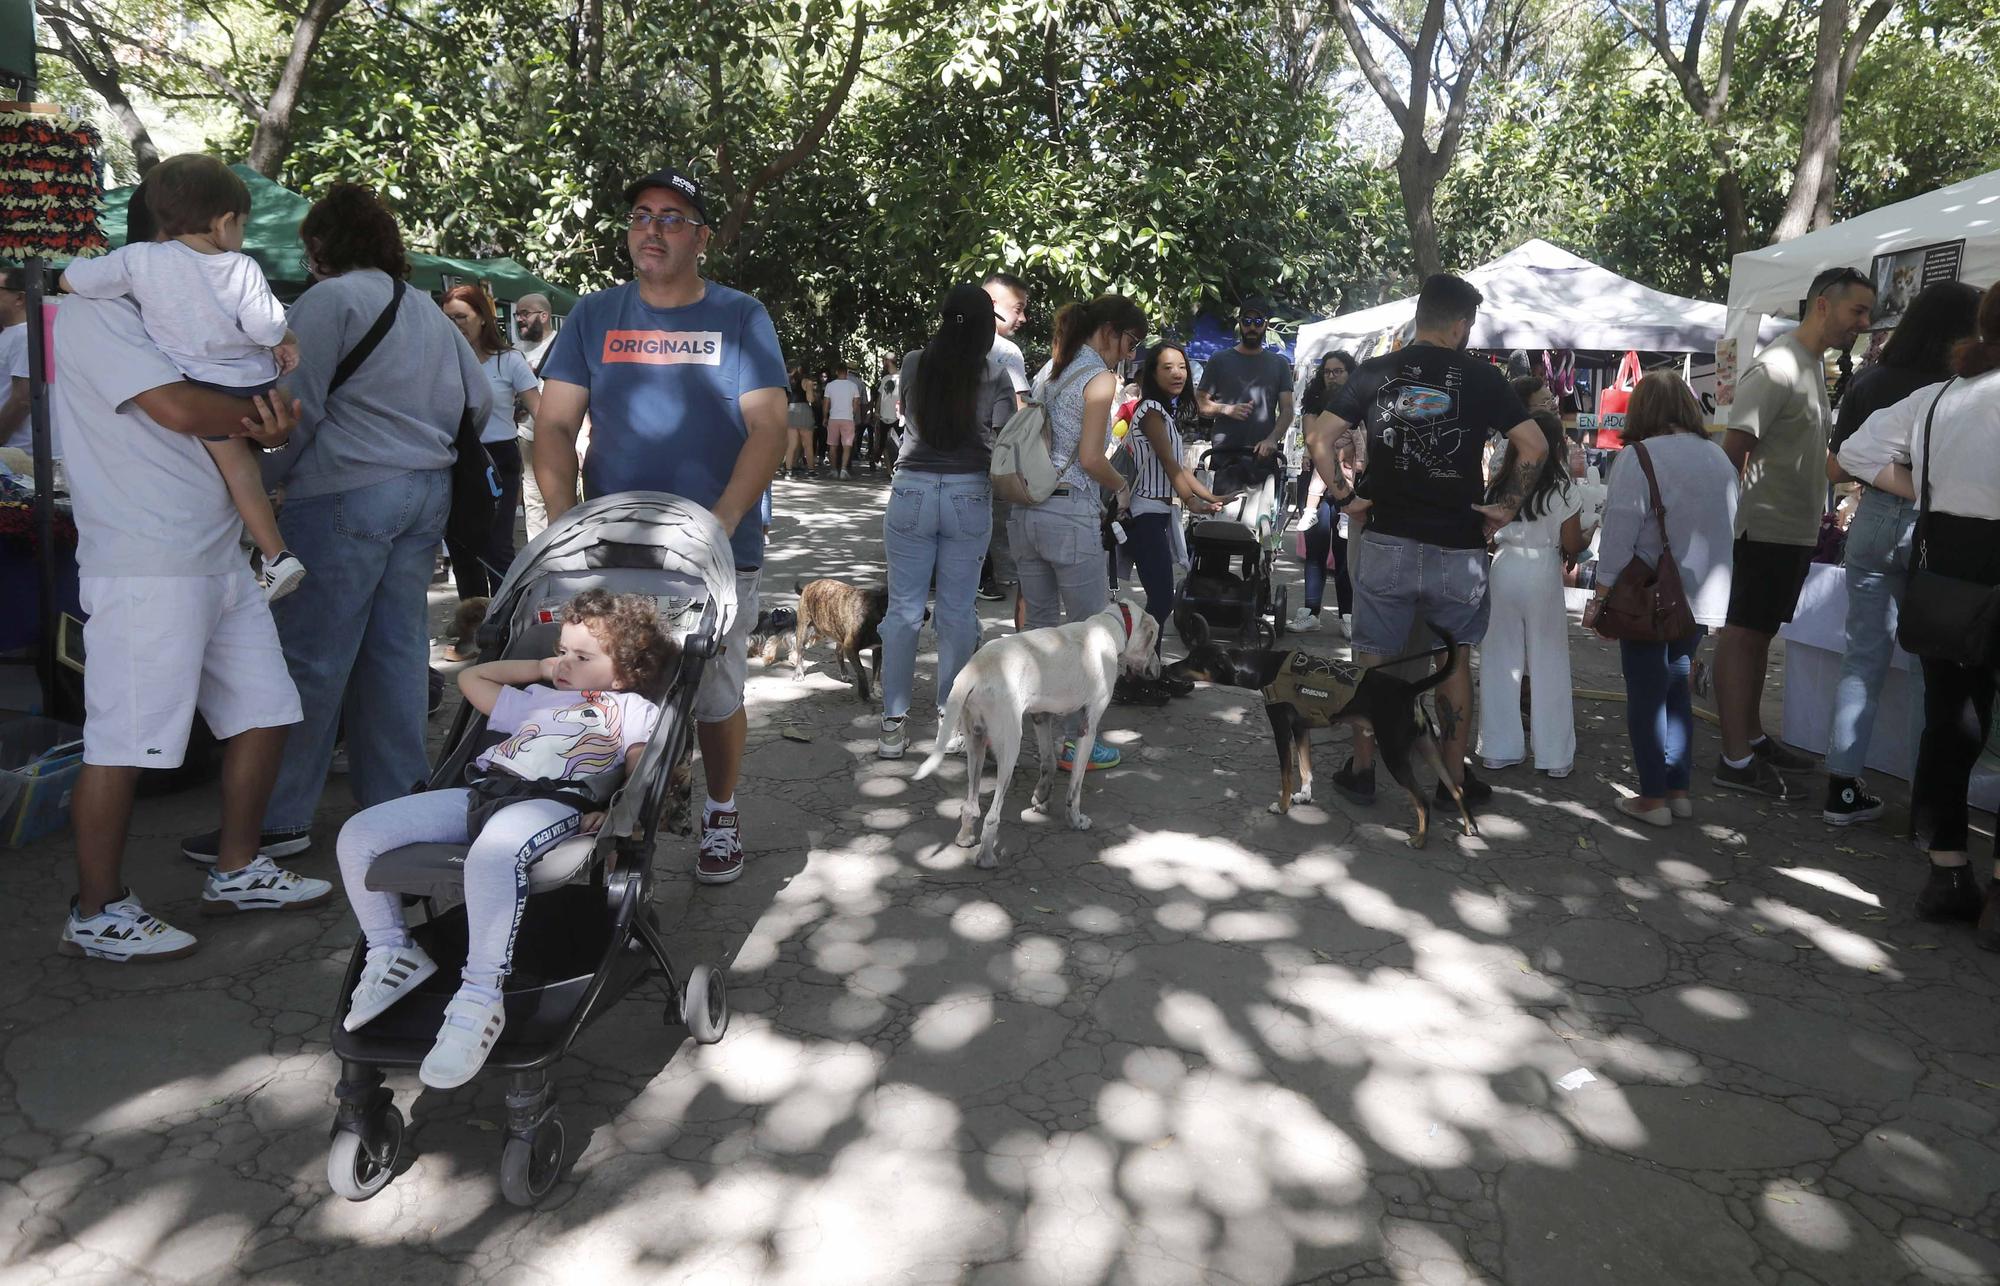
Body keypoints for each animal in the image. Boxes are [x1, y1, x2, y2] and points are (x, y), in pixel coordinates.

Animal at [916, 600, 1160, 864]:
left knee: (971, 805)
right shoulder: (1088, 726)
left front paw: (1042, 796)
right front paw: (1075, 820)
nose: (1157, 671)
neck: (1107, 626)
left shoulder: (1041, 716)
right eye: (1154, 641)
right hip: (1010, 745)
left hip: (975, 741)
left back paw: (965, 837)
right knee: (992, 815)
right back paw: (986, 857)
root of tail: (973, 670)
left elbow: (1049, 762)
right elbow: (1075, 788)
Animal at [1168, 616, 1480, 856]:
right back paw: (1469, 827)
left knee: (1423, 800)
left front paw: (1282, 807)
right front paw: (1304, 797)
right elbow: (1305, 768)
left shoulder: (1281, 730)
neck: (1264, 668)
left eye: (1194, 659)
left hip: (1394, 754)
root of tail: (1409, 690)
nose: (1169, 668)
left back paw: (1419, 840)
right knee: (1456, 788)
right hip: (1429, 748)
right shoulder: (1301, 729)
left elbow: (1286, 774)